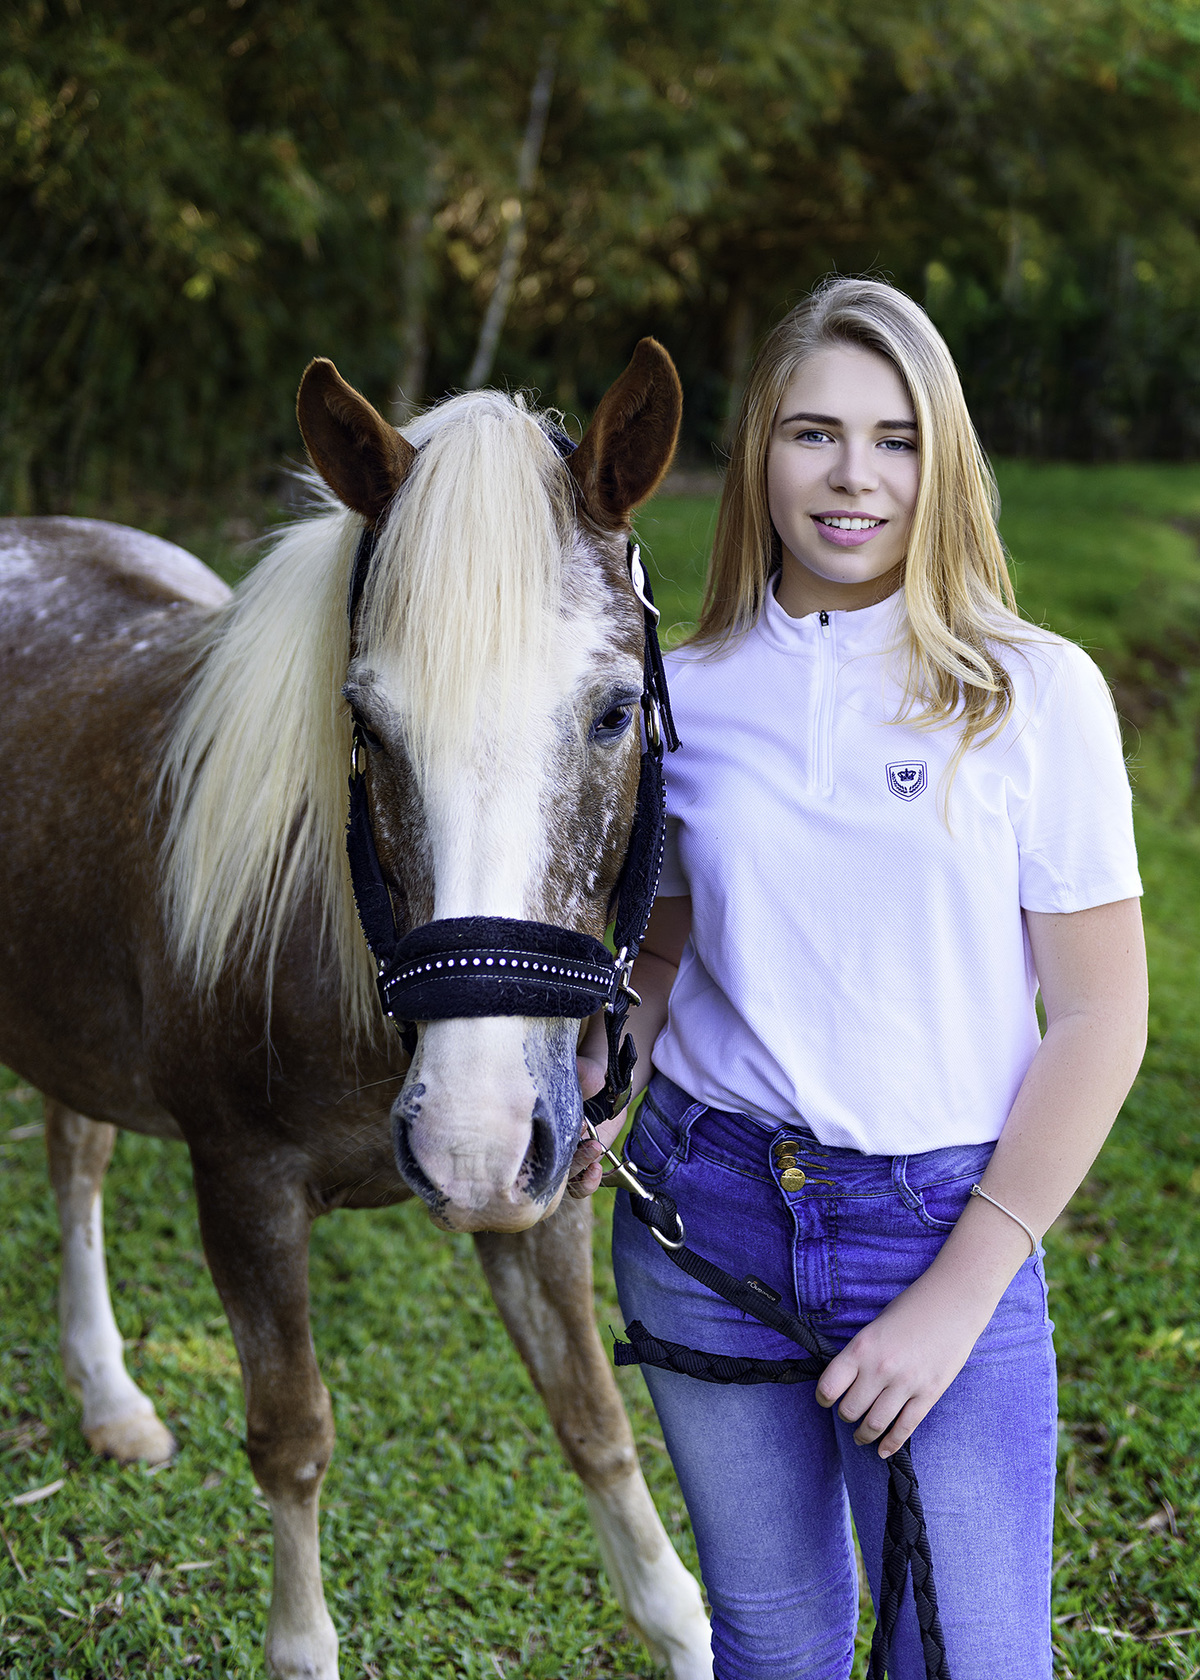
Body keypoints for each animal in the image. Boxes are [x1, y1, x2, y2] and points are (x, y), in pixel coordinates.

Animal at [0, 340, 713, 1679]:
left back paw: (110, 1402)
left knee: (75, 1154)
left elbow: (597, 1425)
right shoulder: (245, 1191)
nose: (471, 1140)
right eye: (367, 725)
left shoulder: (541, 1200)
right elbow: (293, 1442)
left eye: (613, 712)